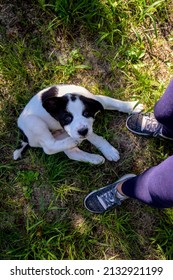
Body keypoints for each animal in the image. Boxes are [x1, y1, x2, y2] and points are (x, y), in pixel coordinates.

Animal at [13, 85, 143, 164]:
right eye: (67, 118)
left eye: (86, 113)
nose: (82, 132)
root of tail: (24, 135)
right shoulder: (78, 130)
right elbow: (93, 137)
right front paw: (108, 150)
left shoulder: (95, 101)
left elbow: (114, 102)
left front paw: (132, 106)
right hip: (34, 122)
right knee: (49, 147)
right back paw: (74, 142)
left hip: (62, 133)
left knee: (71, 153)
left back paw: (94, 158)